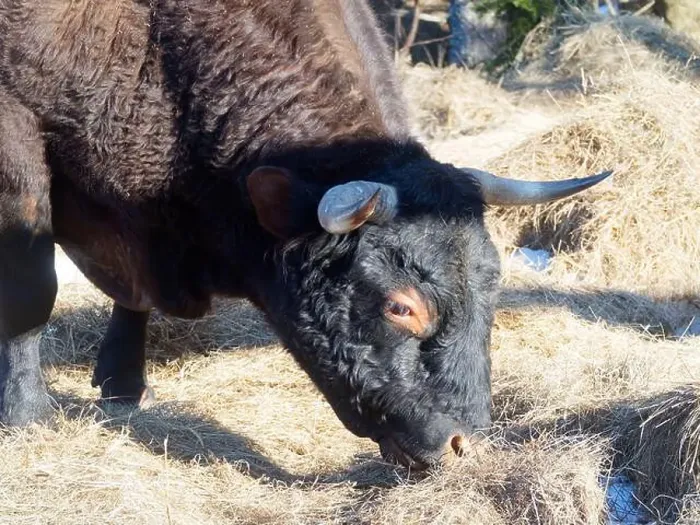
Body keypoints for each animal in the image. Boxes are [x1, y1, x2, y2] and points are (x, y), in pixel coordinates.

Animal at [0, 0, 610, 470]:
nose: (465, 445)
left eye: (493, 293)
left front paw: (124, 383)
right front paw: (27, 416)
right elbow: (32, 293)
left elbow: (133, 301)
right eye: (400, 306)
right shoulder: (18, 139)